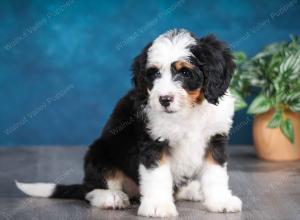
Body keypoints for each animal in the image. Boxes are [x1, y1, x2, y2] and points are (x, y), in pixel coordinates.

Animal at [15, 29, 241, 218]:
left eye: (185, 72)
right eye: (154, 73)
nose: (164, 99)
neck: (188, 112)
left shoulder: (216, 139)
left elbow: (216, 174)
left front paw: (220, 201)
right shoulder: (153, 142)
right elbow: (157, 175)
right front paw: (158, 206)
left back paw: (193, 189)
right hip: (99, 152)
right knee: (90, 190)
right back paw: (110, 197)